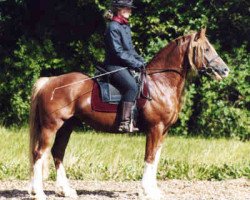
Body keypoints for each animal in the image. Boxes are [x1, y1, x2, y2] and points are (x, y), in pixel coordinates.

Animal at [27, 28, 229, 200]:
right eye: (206, 49)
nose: (225, 70)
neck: (160, 84)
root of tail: (49, 81)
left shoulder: (163, 131)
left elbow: (156, 158)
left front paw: (154, 190)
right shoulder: (155, 129)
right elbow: (149, 158)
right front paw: (147, 191)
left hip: (67, 126)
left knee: (57, 152)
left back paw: (65, 190)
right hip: (50, 126)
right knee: (39, 153)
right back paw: (39, 193)